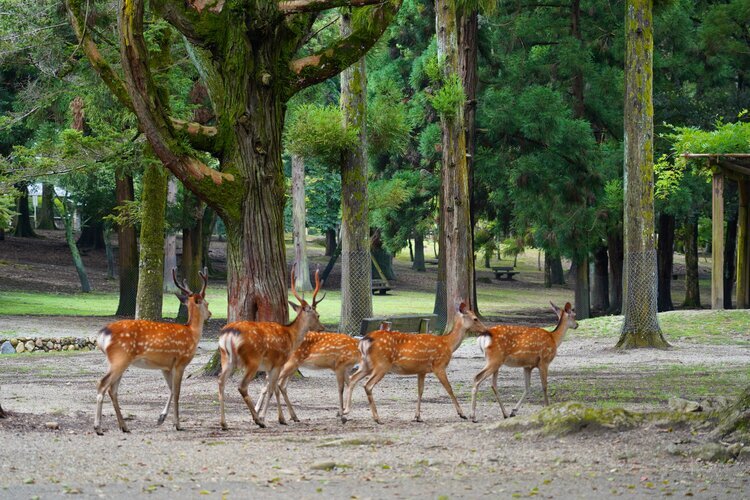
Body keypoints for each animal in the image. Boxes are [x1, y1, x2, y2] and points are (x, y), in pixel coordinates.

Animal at [94, 268, 211, 435]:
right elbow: (177, 392)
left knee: (112, 389)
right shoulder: (181, 362)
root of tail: (102, 335)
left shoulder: (166, 366)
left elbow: (171, 389)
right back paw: (98, 427)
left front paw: (161, 418)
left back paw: (124, 426)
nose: (210, 314)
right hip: (120, 357)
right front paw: (177, 424)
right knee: (102, 383)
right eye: (207, 303)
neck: (192, 333)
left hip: (116, 361)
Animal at [217, 267, 325, 430]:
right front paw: (279, 418)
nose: (322, 328)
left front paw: (275, 416)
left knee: (220, 382)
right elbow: (273, 389)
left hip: (226, 359)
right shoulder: (278, 363)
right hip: (252, 361)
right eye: (317, 315)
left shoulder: (269, 366)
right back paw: (258, 421)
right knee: (242, 386)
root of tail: (228, 334)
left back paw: (224, 423)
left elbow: (270, 388)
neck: (291, 336)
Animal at [343, 302, 488, 424]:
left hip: (366, 364)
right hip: (382, 364)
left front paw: (417, 416)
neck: (448, 344)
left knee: (352, 378)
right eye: (475, 318)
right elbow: (449, 388)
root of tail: (365, 339)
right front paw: (462, 414)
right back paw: (377, 418)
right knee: (367, 385)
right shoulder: (439, 365)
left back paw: (345, 413)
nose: (486, 330)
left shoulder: (421, 370)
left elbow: (420, 391)